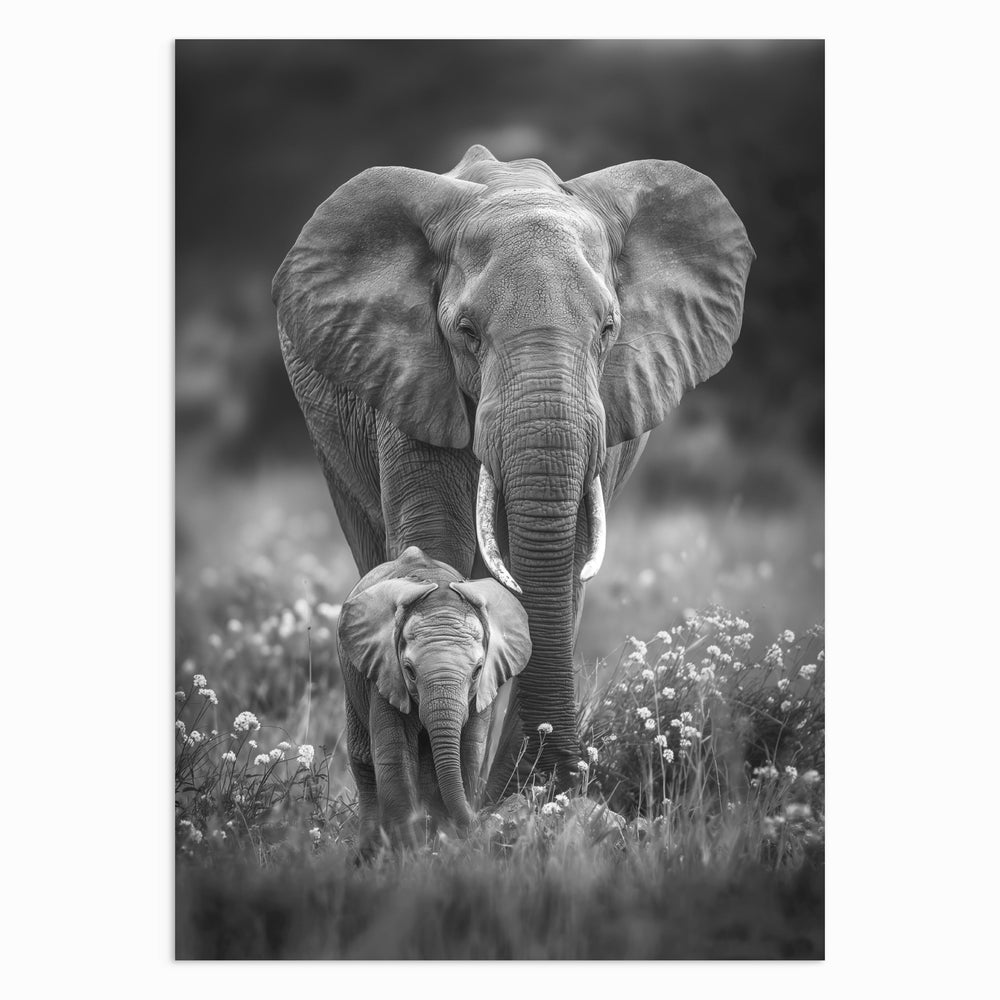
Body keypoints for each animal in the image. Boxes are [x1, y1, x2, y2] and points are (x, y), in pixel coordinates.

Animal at [274, 144, 753, 796]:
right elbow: (433, 547)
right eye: (466, 332)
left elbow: (569, 566)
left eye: (609, 328)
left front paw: (532, 799)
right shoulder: (411, 383)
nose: (564, 775)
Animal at [338, 545, 531, 846]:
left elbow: (468, 751)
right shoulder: (385, 674)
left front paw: (447, 839)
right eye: (409, 671)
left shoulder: (482, 691)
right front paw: (409, 847)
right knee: (364, 760)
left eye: (477, 671)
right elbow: (394, 754)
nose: (481, 821)